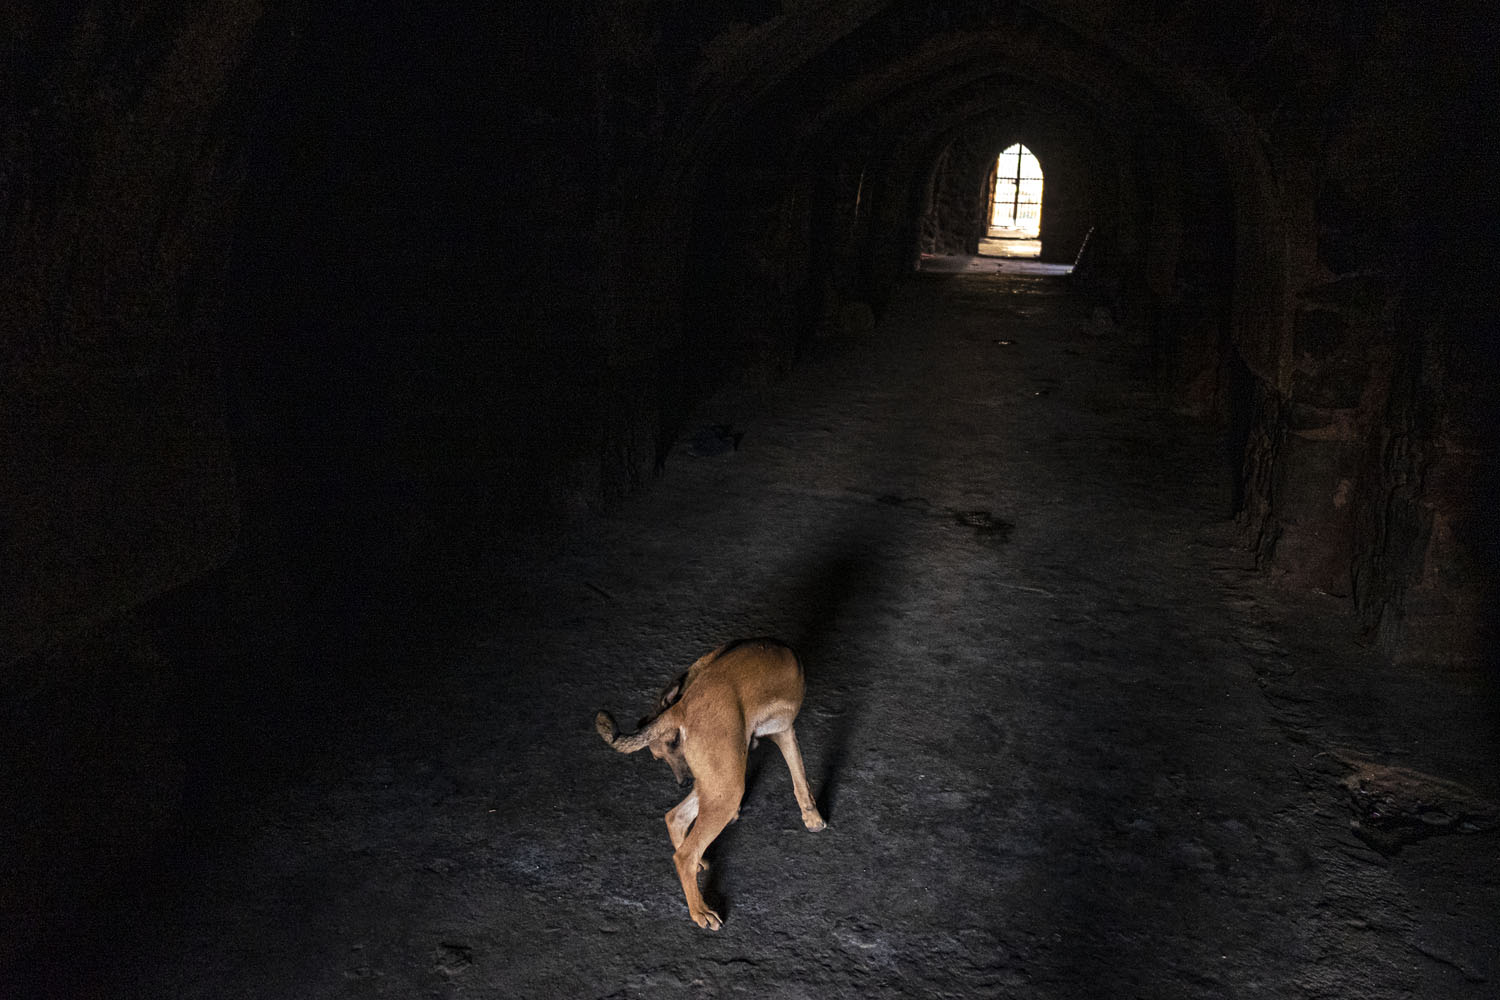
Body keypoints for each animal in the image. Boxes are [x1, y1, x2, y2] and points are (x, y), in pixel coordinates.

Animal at [594, 641, 828, 929]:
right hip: (728, 789)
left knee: (675, 817)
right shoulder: (784, 732)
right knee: (684, 855)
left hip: (718, 783)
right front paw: (812, 816)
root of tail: (680, 708)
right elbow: (800, 777)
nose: (683, 782)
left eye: (673, 744)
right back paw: (700, 910)